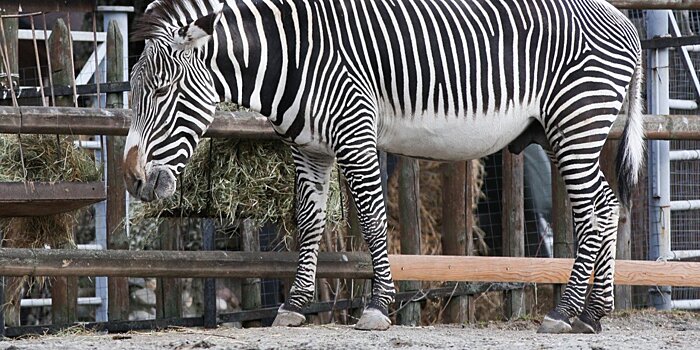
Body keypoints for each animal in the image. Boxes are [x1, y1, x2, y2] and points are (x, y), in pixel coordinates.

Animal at [126, 0, 644, 334]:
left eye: (163, 92)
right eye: (133, 93)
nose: (132, 179)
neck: (293, 59)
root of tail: (621, 17)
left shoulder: (355, 130)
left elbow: (374, 219)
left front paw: (377, 307)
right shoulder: (309, 148)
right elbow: (309, 222)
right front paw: (294, 306)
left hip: (576, 120)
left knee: (592, 210)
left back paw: (564, 313)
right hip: (562, 130)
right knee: (605, 204)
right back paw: (593, 314)